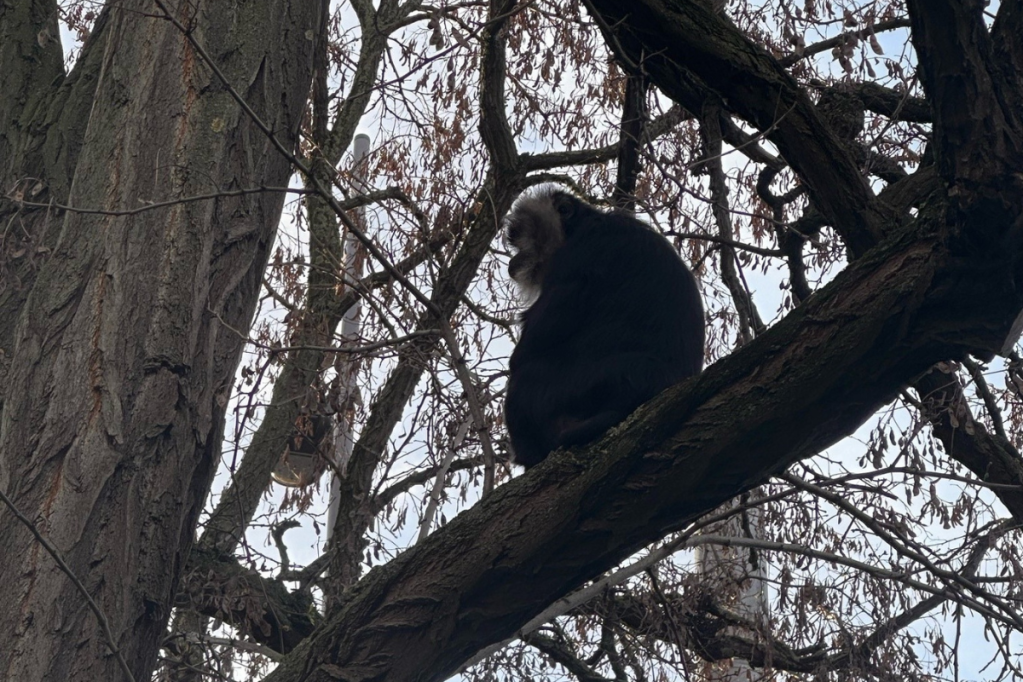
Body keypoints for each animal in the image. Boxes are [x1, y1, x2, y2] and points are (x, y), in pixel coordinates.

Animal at [501, 189, 703, 472]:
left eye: (520, 238)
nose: (514, 259)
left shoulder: (578, 254)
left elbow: (526, 352)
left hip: (581, 386)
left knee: (523, 383)